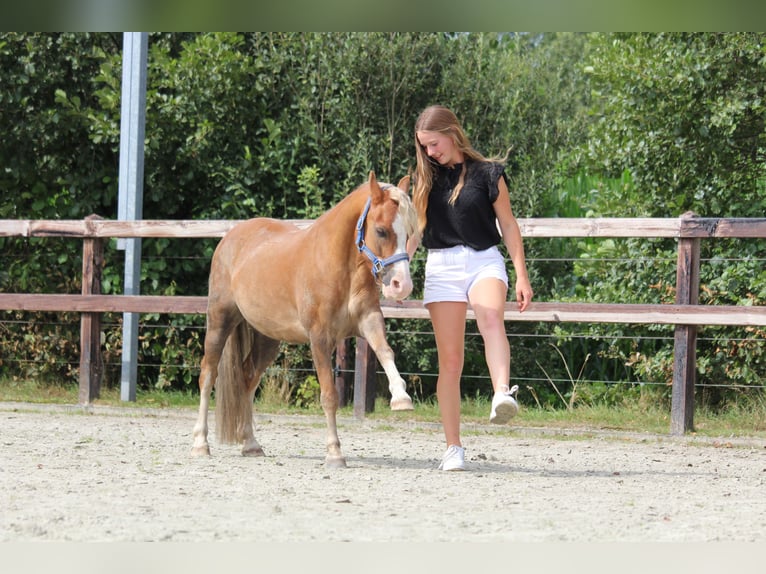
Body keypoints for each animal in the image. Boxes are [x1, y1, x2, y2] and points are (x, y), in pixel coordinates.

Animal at [191, 171, 418, 468]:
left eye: (409, 233)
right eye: (381, 230)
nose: (401, 285)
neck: (340, 267)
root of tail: (229, 238)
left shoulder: (369, 321)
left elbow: (384, 351)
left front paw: (401, 397)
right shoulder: (320, 337)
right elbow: (329, 395)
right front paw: (334, 452)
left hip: (267, 339)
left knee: (248, 379)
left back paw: (250, 444)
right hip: (220, 321)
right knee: (208, 375)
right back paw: (200, 444)